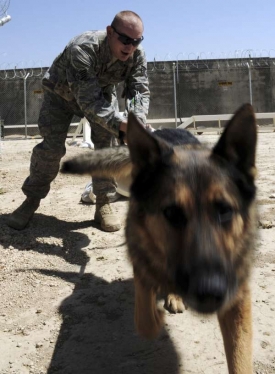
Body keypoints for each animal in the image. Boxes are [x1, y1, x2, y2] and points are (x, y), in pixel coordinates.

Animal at [61, 103, 258, 372]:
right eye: (172, 213)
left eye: (225, 210)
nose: (210, 291)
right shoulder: (140, 256)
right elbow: (145, 318)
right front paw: (156, 313)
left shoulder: (237, 300)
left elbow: (240, 360)